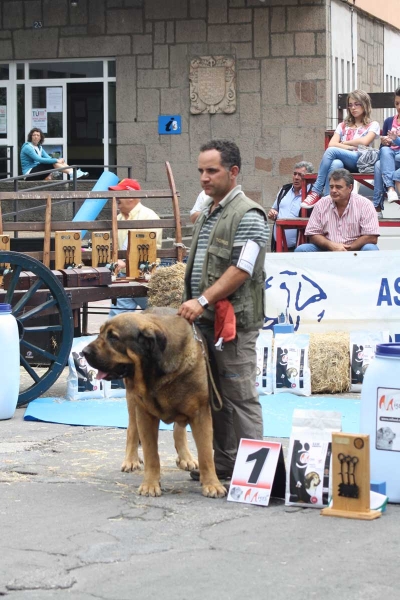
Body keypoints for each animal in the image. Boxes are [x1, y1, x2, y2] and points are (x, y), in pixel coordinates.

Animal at [83, 310, 227, 496]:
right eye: (100, 333)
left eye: (113, 337)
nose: (84, 351)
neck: (157, 372)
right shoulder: (145, 414)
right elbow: (151, 453)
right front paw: (150, 485)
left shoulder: (200, 413)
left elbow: (206, 453)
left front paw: (212, 484)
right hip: (132, 400)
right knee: (132, 429)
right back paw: (131, 460)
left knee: (179, 429)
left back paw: (186, 457)